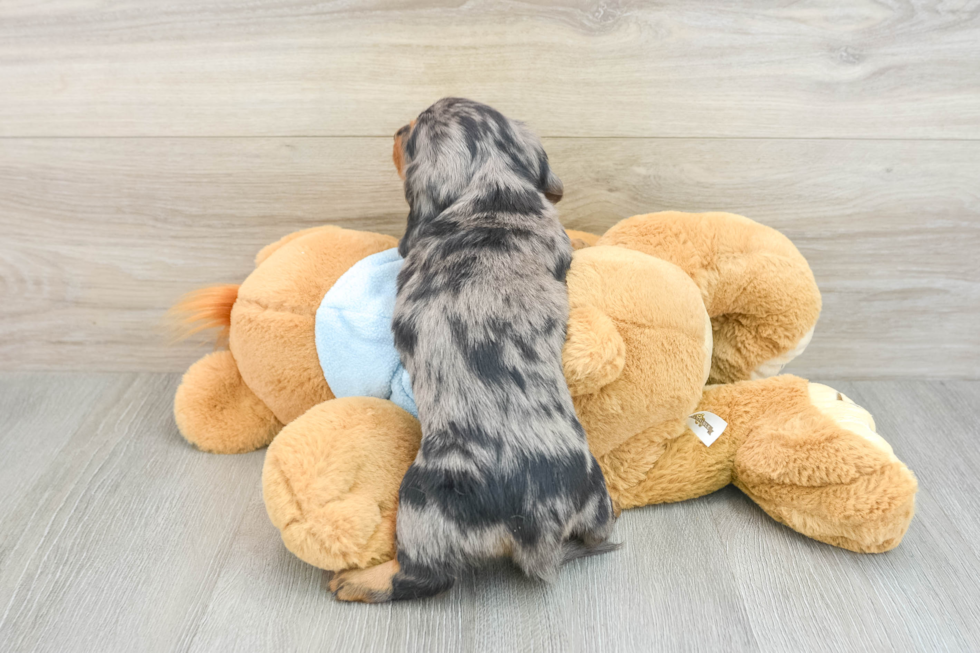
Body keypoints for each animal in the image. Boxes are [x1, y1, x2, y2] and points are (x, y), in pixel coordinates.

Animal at [332, 95, 620, 600]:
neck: (494, 184)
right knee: (596, 532)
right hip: (594, 495)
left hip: (421, 501)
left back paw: (358, 581)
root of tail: (537, 527)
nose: (395, 128)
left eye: (410, 133)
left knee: (421, 577)